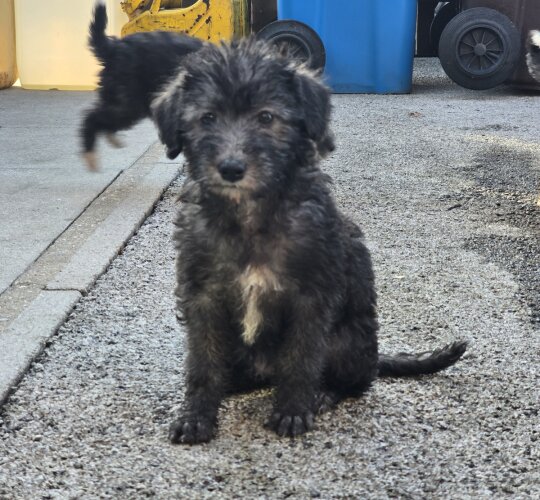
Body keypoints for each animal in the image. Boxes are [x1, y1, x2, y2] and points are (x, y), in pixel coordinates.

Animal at [152, 40, 468, 446]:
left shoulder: (310, 297)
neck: (250, 216)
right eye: (207, 118)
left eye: (266, 117)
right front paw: (195, 415)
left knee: (357, 381)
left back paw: (324, 394)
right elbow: (203, 361)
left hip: (348, 340)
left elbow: (300, 359)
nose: (231, 169)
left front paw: (292, 409)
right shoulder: (202, 295)